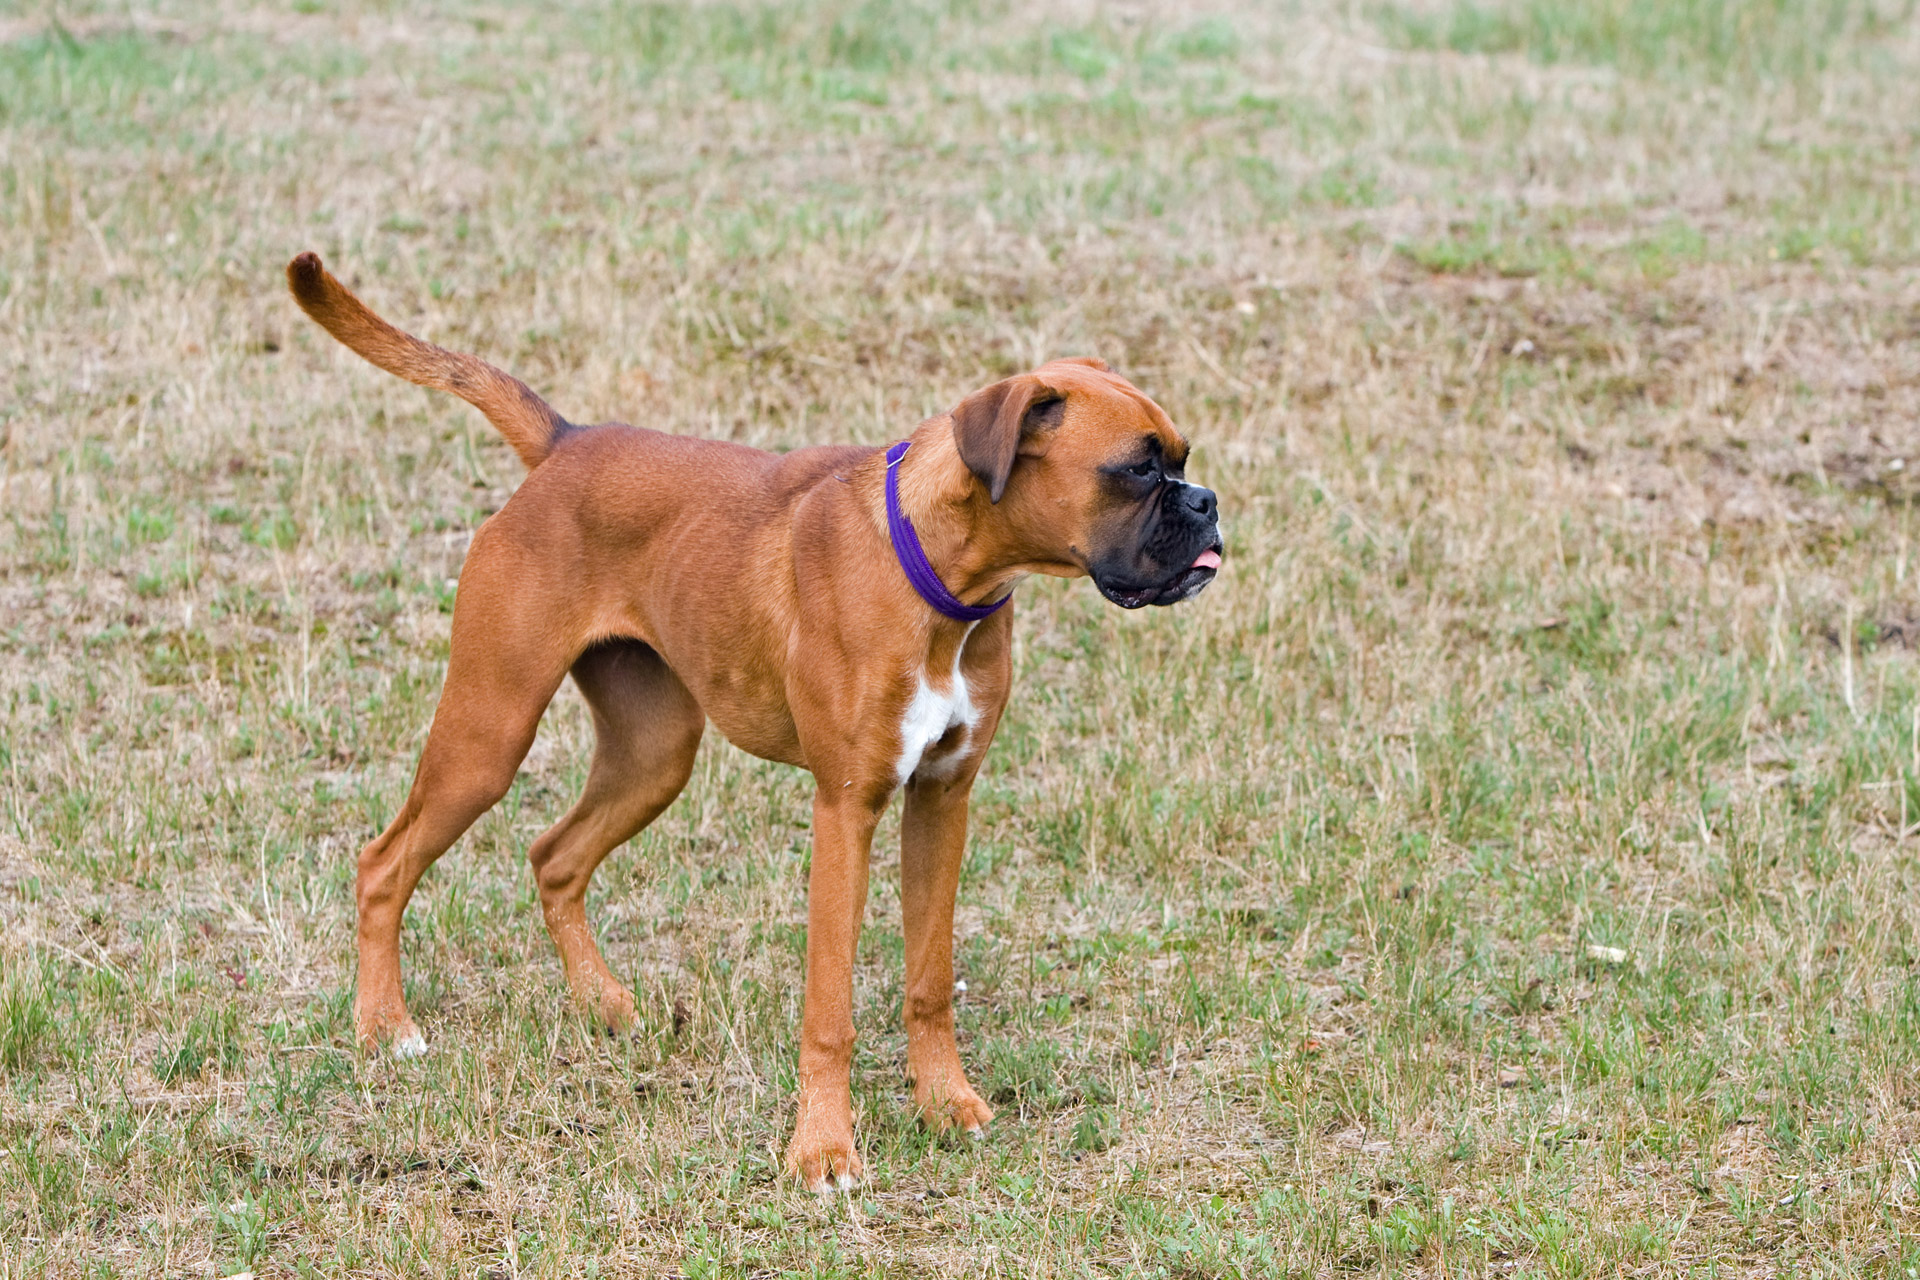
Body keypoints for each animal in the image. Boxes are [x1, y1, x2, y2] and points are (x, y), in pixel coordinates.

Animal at [282, 253, 1221, 1189]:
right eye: (1138, 470)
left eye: (1179, 460)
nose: (1207, 502)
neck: (936, 569)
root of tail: (565, 442)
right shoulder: (847, 810)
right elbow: (830, 1008)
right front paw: (824, 1150)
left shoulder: (941, 801)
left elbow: (929, 980)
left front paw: (945, 1104)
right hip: (490, 733)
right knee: (383, 863)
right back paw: (386, 1028)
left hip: (654, 755)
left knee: (554, 857)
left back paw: (603, 1004)